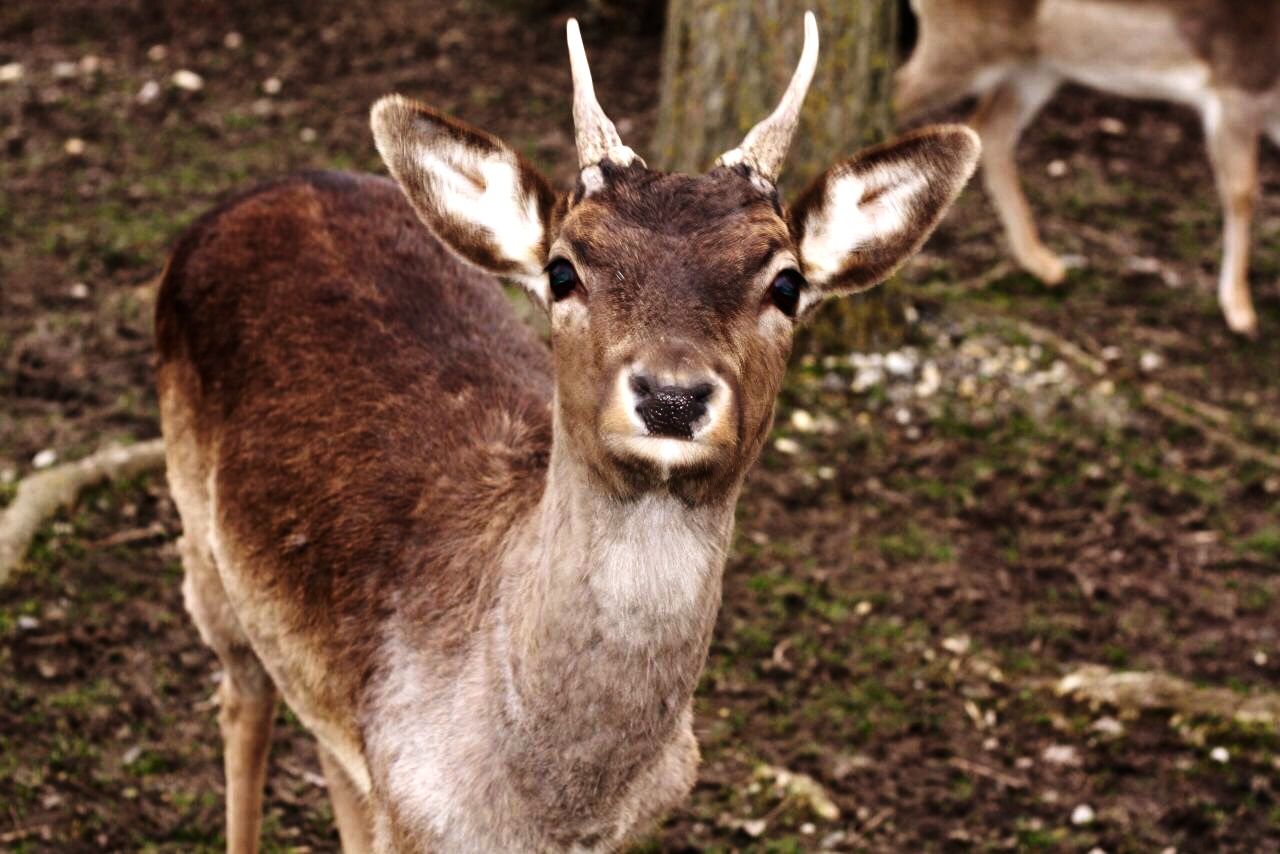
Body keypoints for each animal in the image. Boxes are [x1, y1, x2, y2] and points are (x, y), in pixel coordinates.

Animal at [157, 13, 977, 854]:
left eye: (786, 282)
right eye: (562, 270)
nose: (672, 395)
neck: (549, 809)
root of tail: (259, 191)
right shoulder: (413, 813)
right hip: (198, 535)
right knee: (242, 695)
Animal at [896, 0, 1280, 338]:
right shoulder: (1235, 88)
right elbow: (1242, 192)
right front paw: (1241, 312)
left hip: (1037, 65)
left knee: (990, 128)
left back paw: (1043, 264)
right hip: (959, 43)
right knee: (897, 94)